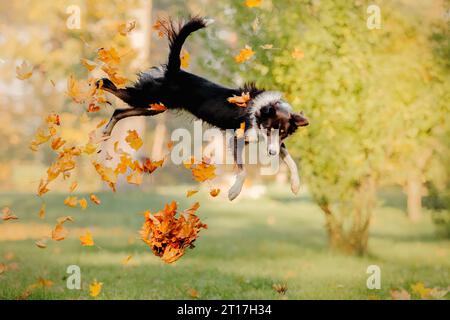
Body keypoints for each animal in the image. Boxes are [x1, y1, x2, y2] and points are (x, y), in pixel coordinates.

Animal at [98, 17, 310, 200]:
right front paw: (233, 192)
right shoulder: (237, 138)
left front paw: (295, 185)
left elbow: (291, 161)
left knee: (119, 111)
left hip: (153, 107)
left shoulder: (275, 142)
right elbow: (242, 170)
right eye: (268, 129)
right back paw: (99, 84)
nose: (271, 154)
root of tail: (174, 70)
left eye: (283, 133)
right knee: (110, 86)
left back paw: (105, 133)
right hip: (149, 98)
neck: (260, 111)